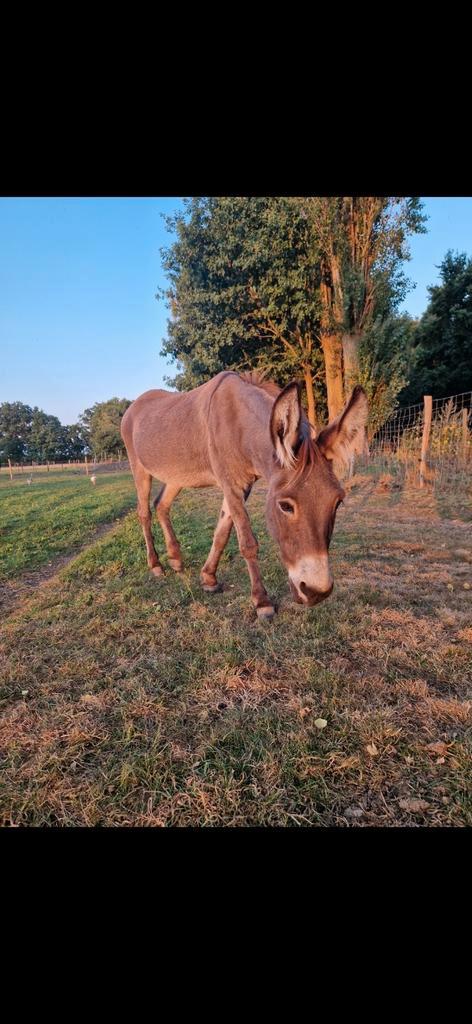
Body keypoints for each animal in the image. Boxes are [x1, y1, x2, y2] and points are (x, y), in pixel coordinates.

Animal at [120, 371, 368, 618]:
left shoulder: (243, 485)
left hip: (177, 475)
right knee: (144, 513)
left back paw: (175, 558)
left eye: (337, 502)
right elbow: (247, 542)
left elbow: (222, 532)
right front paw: (261, 601)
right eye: (285, 506)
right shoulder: (231, 484)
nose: (317, 592)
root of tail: (135, 404)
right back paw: (155, 565)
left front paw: (208, 578)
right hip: (139, 468)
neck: (239, 425)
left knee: (161, 504)